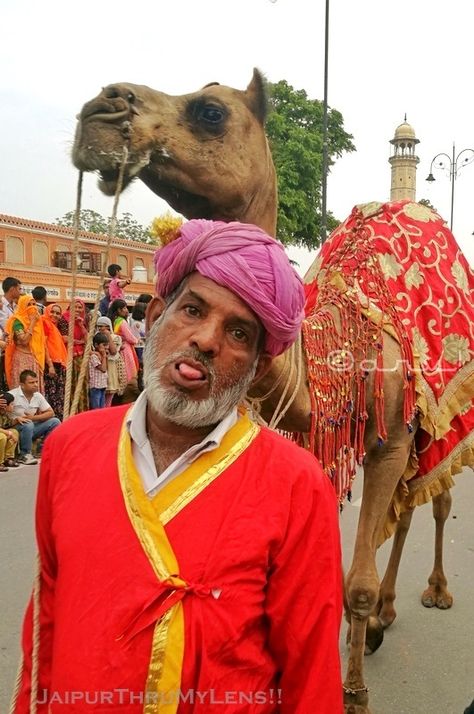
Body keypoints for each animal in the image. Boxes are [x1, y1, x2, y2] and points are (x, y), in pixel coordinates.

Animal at [72, 68, 472, 712]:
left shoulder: (390, 436)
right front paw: (359, 634)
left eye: (210, 111)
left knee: (436, 498)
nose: (100, 111)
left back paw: (433, 591)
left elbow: (357, 581)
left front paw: (354, 690)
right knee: (410, 506)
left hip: (442, 413)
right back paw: (386, 616)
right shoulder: (315, 434)